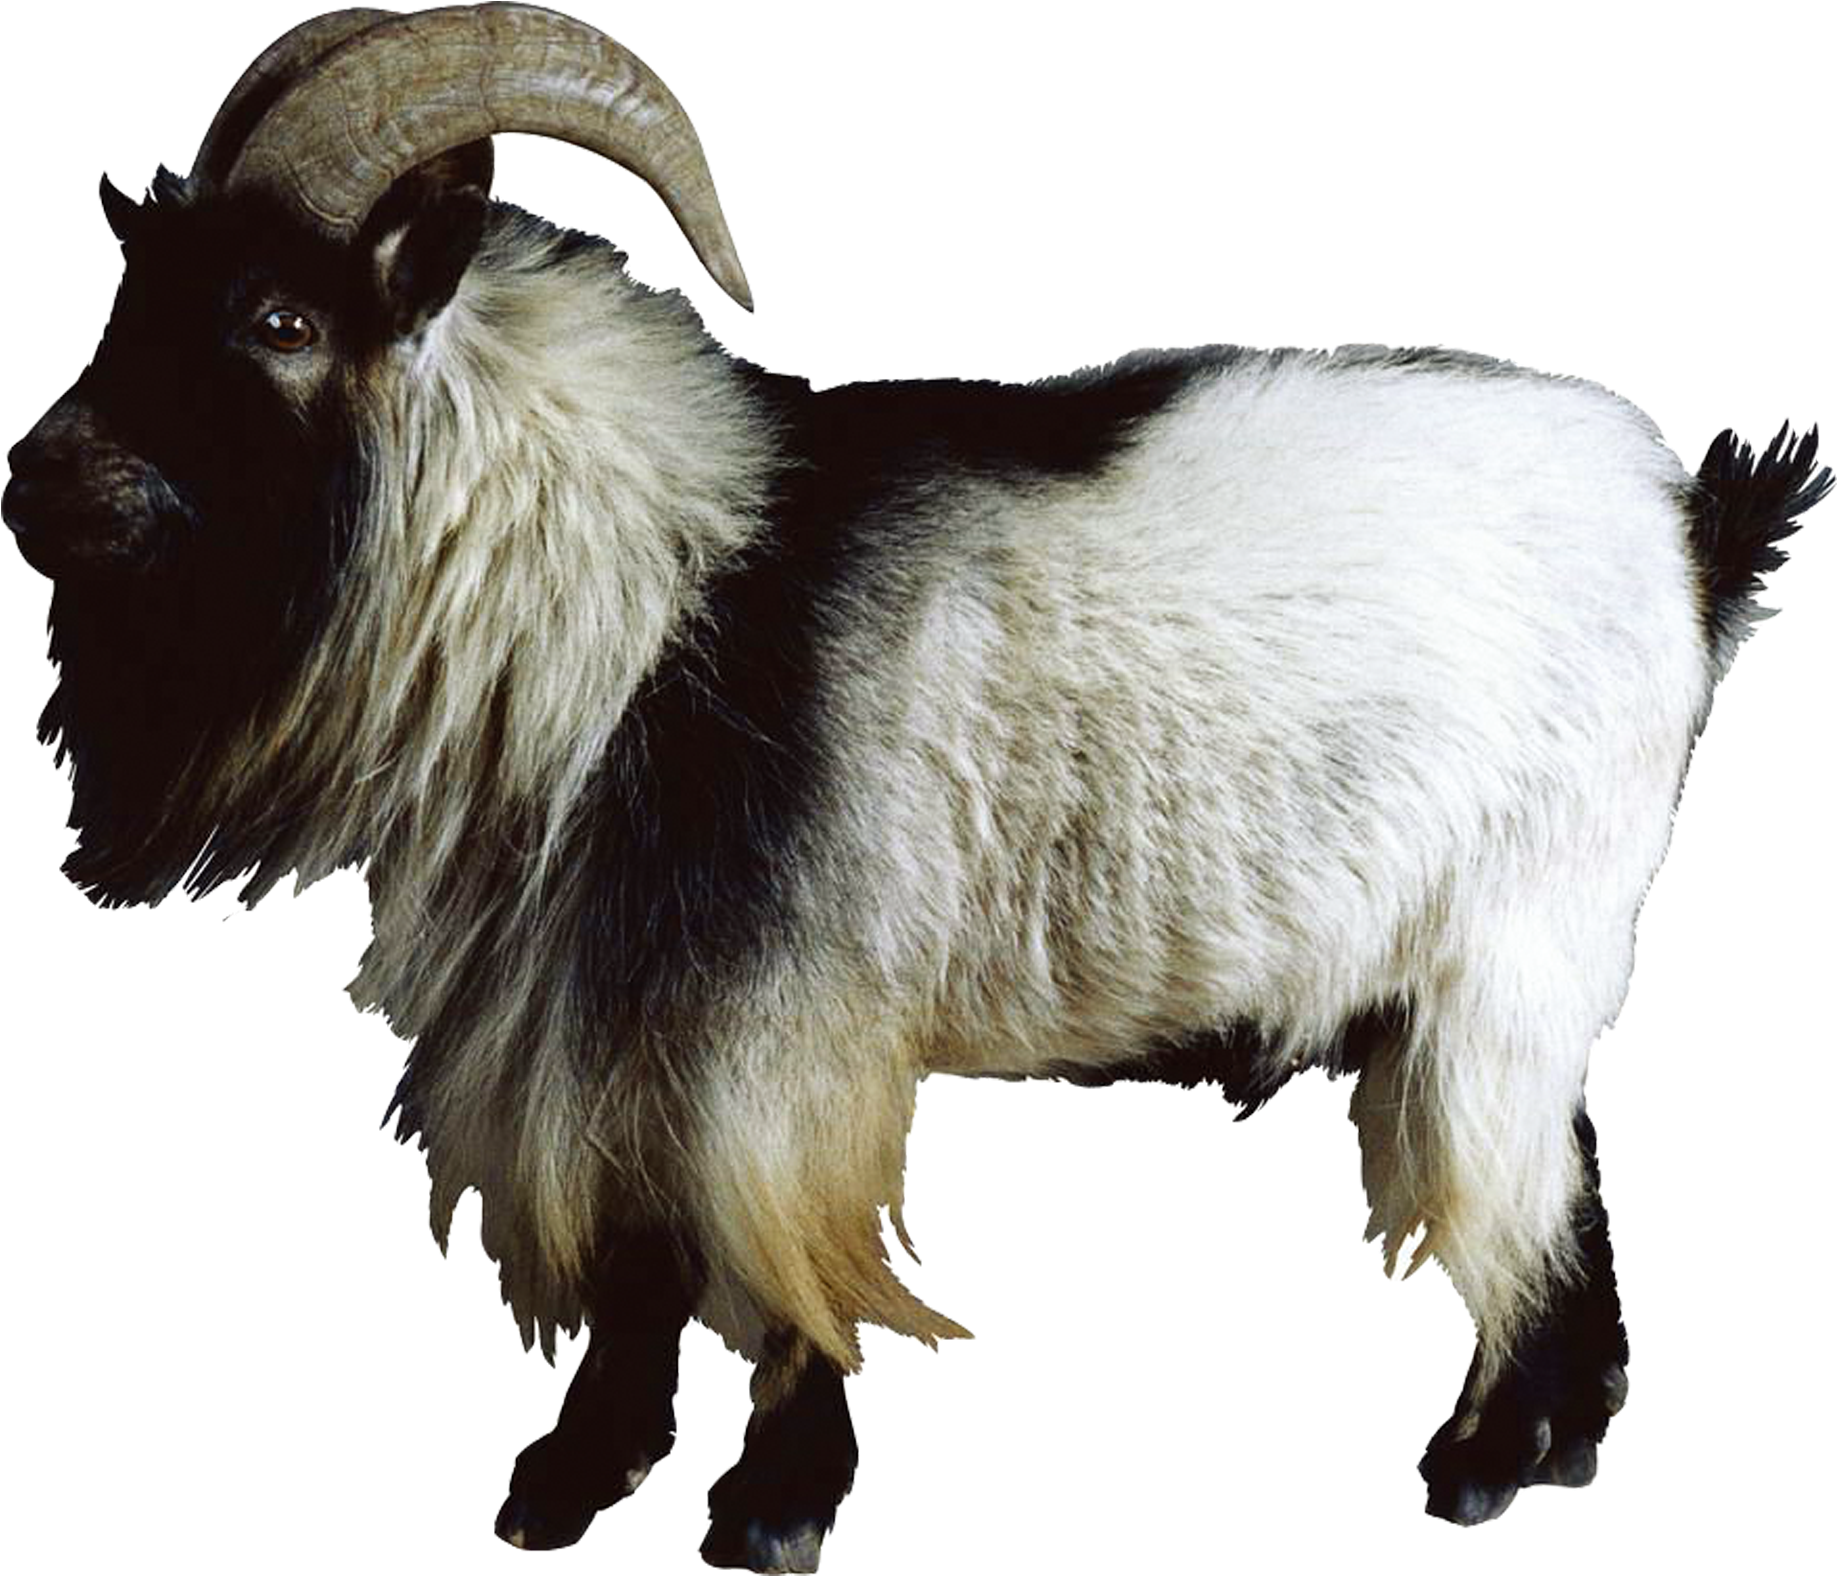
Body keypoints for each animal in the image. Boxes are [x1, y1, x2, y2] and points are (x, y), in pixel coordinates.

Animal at [3, 4, 1828, 1567]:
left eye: (279, 320)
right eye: (137, 287)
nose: (35, 477)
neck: (648, 592)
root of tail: (1690, 533)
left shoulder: (779, 1025)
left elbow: (780, 1251)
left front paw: (768, 1514)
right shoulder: (605, 1016)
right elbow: (633, 1265)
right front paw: (568, 1485)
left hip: (1509, 948)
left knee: (1521, 1194)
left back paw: (1484, 1464)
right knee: (1567, 1185)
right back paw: (1554, 1451)